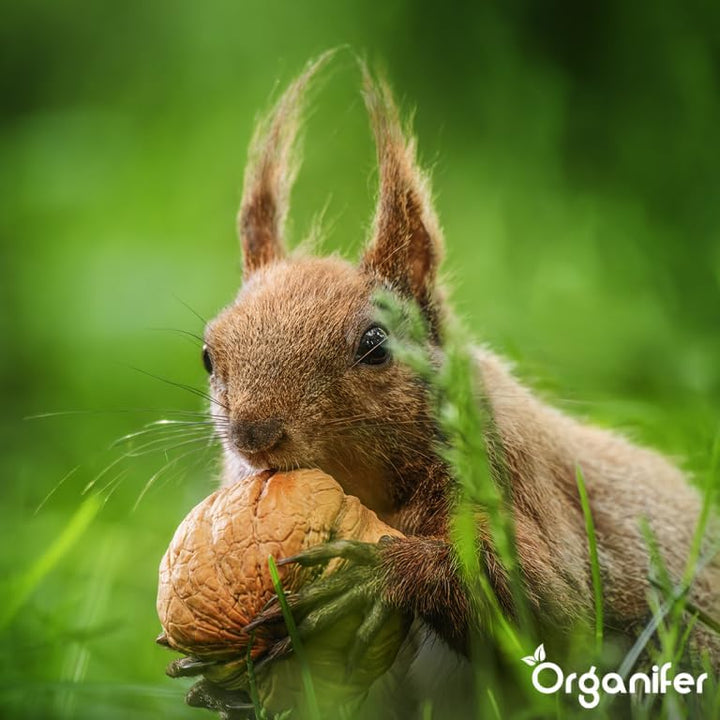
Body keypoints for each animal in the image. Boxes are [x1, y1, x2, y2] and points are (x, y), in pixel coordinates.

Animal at [198, 54, 719, 708]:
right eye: (208, 355)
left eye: (375, 345)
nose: (254, 434)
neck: (366, 491)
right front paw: (233, 676)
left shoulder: (510, 475)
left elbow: (552, 611)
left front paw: (377, 576)